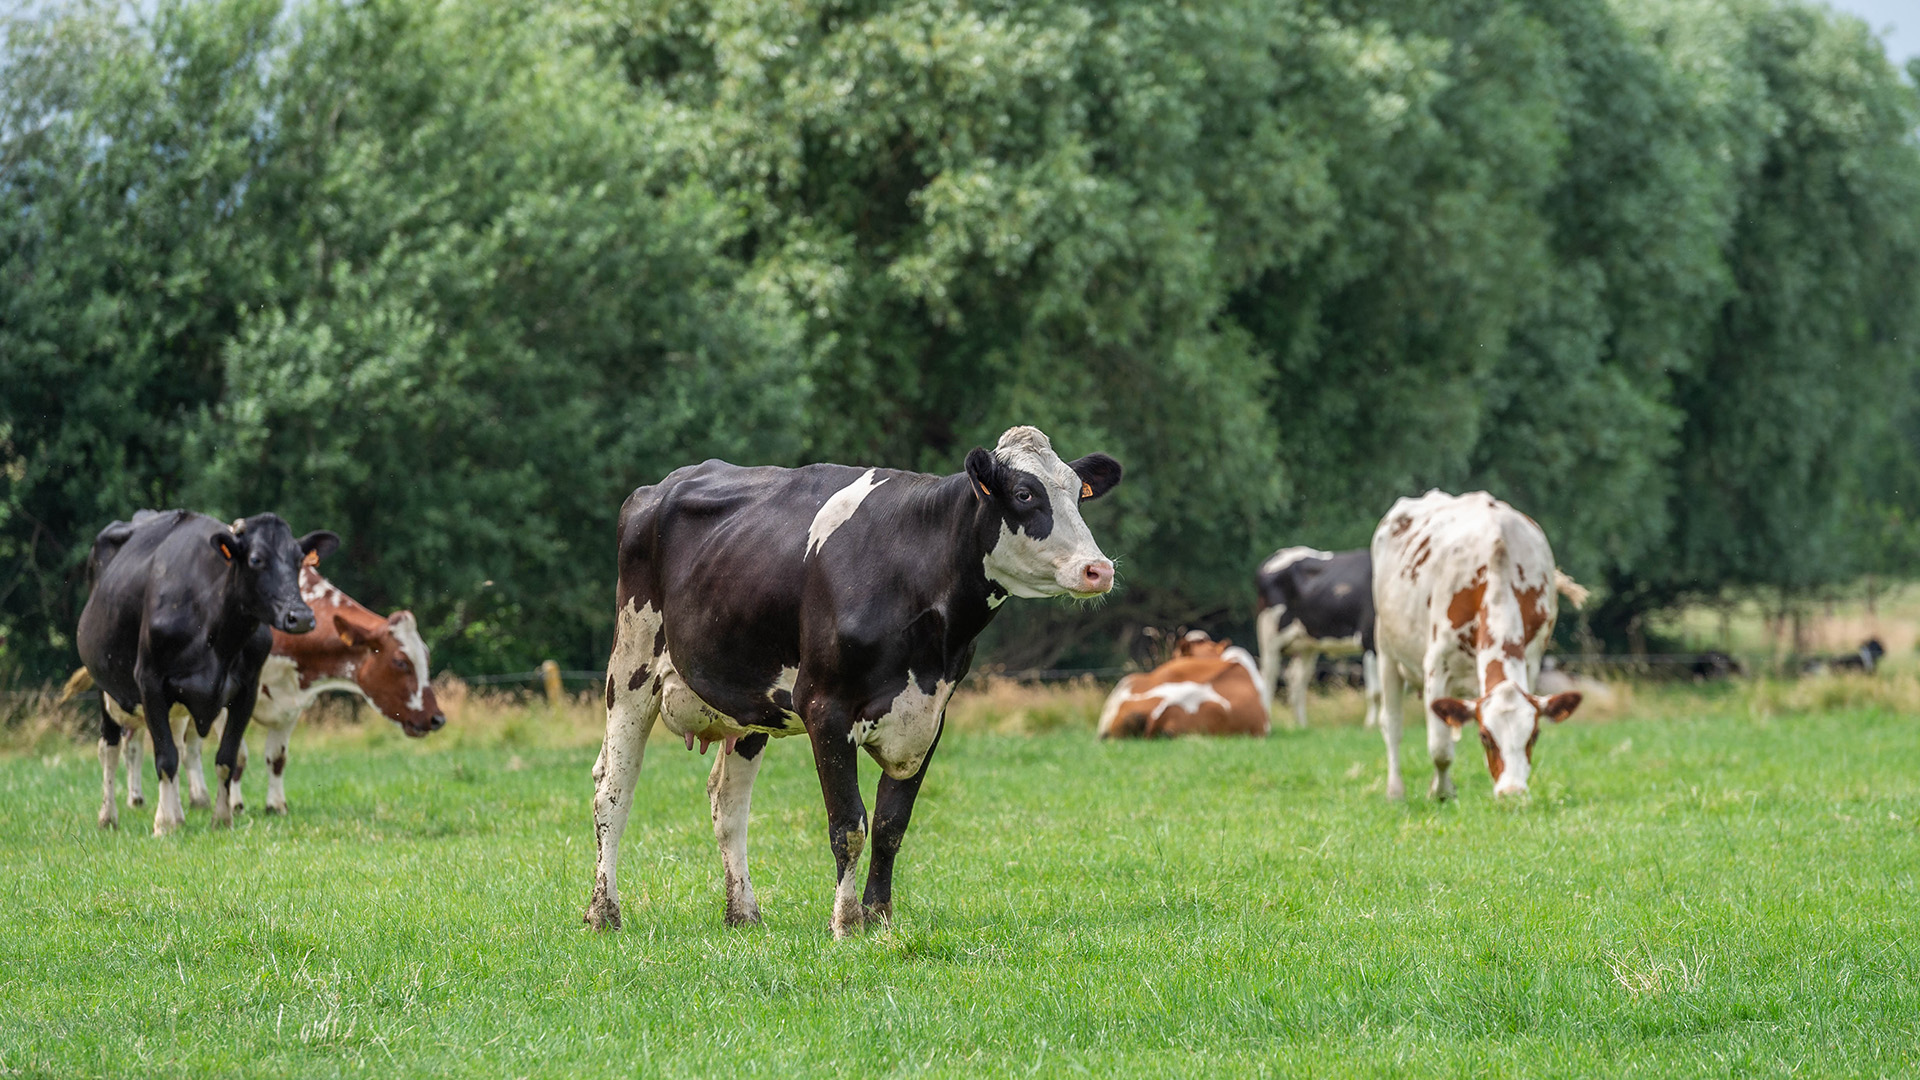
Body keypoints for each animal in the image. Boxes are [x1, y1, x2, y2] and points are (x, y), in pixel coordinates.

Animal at [76, 510, 337, 834]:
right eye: (256, 559)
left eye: (299, 559)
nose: (300, 617)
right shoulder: (149, 681)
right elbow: (165, 758)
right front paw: (163, 825)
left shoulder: (247, 690)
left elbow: (226, 757)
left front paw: (221, 818)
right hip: (106, 687)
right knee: (109, 748)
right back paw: (108, 817)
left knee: (174, 743)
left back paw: (177, 813)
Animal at [87, 563, 444, 816]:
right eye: (401, 662)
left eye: (426, 656)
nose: (437, 718)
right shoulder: (224, 700)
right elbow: (237, 757)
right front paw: (234, 805)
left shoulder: (292, 704)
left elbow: (277, 758)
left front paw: (275, 805)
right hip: (121, 696)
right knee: (124, 745)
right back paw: (131, 800)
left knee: (183, 747)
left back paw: (196, 798)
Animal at [585, 425, 1122, 938]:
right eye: (1025, 493)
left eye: (1077, 494)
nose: (1099, 569)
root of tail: (659, 486)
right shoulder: (825, 708)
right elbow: (849, 825)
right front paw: (845, 921)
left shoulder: (929, 716)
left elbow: (890, 824)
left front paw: (879, 917)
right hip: (630, 669)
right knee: (613, 792)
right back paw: (603, 912)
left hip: (750, 703)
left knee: (728, 804)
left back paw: (744, 913)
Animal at [1254, 547, 1380, 729]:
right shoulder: (1369, 638)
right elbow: (1376, 692)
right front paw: (1371, 726)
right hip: (1270, 635)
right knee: (1268, 678)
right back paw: (1267, 726)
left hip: (1307, 644)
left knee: (1296, 680)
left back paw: (1301, 726)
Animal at [1371, 491, 1586, 800]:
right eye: (1485, 736)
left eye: (1534, 735)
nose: (1512, 793)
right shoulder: (1436, 666)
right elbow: (1440, 748)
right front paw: (1441, 793)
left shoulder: (1531, 662)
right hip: (1386, 649)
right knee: (1392, 724)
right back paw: (1395, 790)